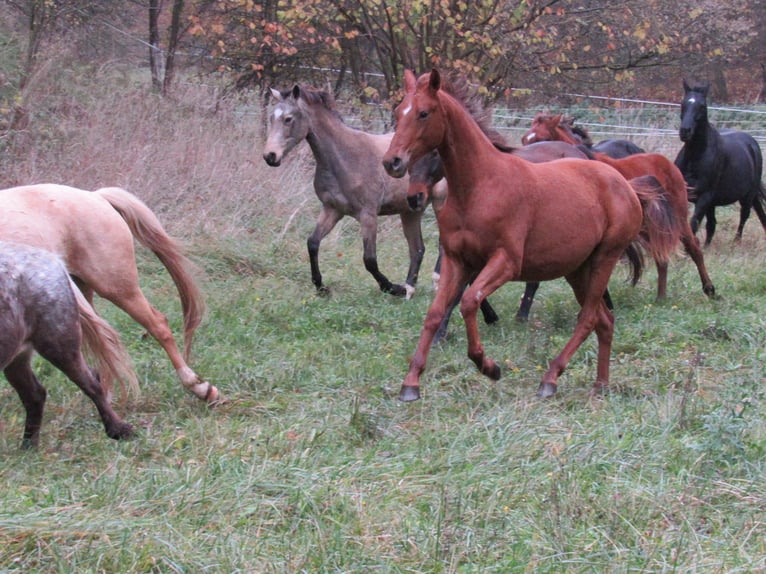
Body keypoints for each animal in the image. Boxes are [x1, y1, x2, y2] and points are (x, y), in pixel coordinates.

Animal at [0, 184, 219, 404]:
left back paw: (198, 386)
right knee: (102, 340)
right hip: (79, 292)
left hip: (116, 287)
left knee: (156, 325)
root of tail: (96, 196)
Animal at [0, 241, 136, 448]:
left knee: (92, 384)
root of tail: (55, 261)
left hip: (59, 344)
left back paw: (118, 429)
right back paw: (29, 446)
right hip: (17, 357)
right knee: (35, 395)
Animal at [263, 85, 435, 299]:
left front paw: (391, 288)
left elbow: (369, 259)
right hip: (411, 211)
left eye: (288, 119)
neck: (345, 156)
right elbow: (312, 243)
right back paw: (410, 288)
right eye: (271, 117)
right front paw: (321, 287)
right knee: (417, 249)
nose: (270, 156)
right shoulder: (332, 210)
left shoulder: (368, 215)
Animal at [382, 69, 681, 401]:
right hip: (578, 269)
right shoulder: (456, 260)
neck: (479, 186)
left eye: (424, 113)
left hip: (604, 258)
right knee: (604, 320)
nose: (392, 162)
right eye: (399, 112)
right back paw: (600, 386)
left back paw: (550, 379)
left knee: (589, 318)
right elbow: (435, 313)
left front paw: (489, 366)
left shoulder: (506, 261)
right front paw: (411, 383)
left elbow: (470, 301)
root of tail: (625, 184)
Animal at [674, 80, 766, 245]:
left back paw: (736, 243)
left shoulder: (704, 197)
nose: (685, 131)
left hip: (747, 196)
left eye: (702, 106)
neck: (694, 157)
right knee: (712, 225)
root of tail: (751, 143)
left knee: (744, 216)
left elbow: (693, 224)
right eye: (683, 103)